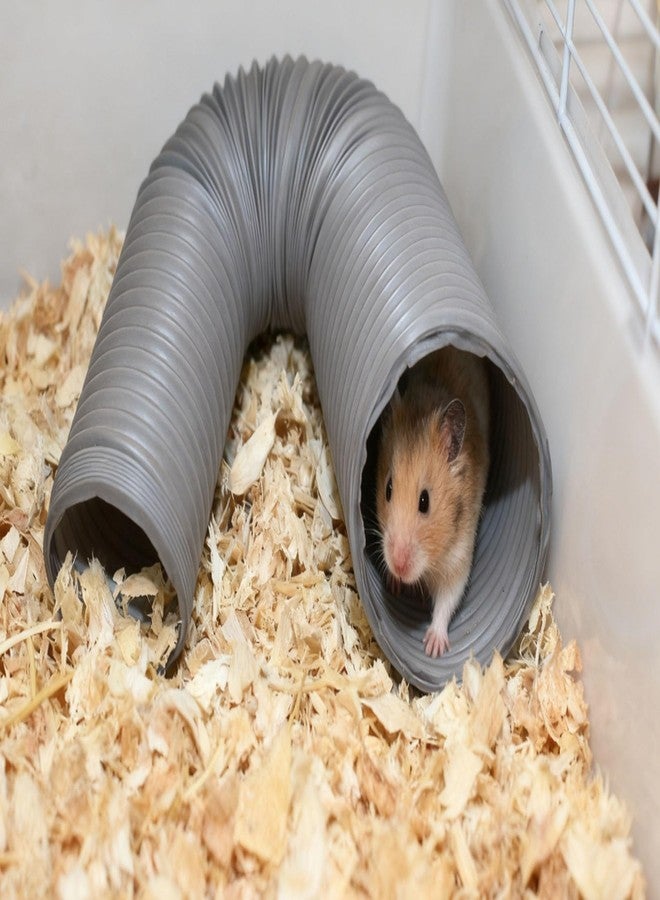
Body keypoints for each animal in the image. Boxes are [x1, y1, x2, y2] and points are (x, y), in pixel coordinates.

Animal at [376, 347, 490, 658]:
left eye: (425, 501)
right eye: (388, 489)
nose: (399, 568)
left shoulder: (459, 557)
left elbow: (447, 601)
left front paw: (433, 649)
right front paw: (393, 584)